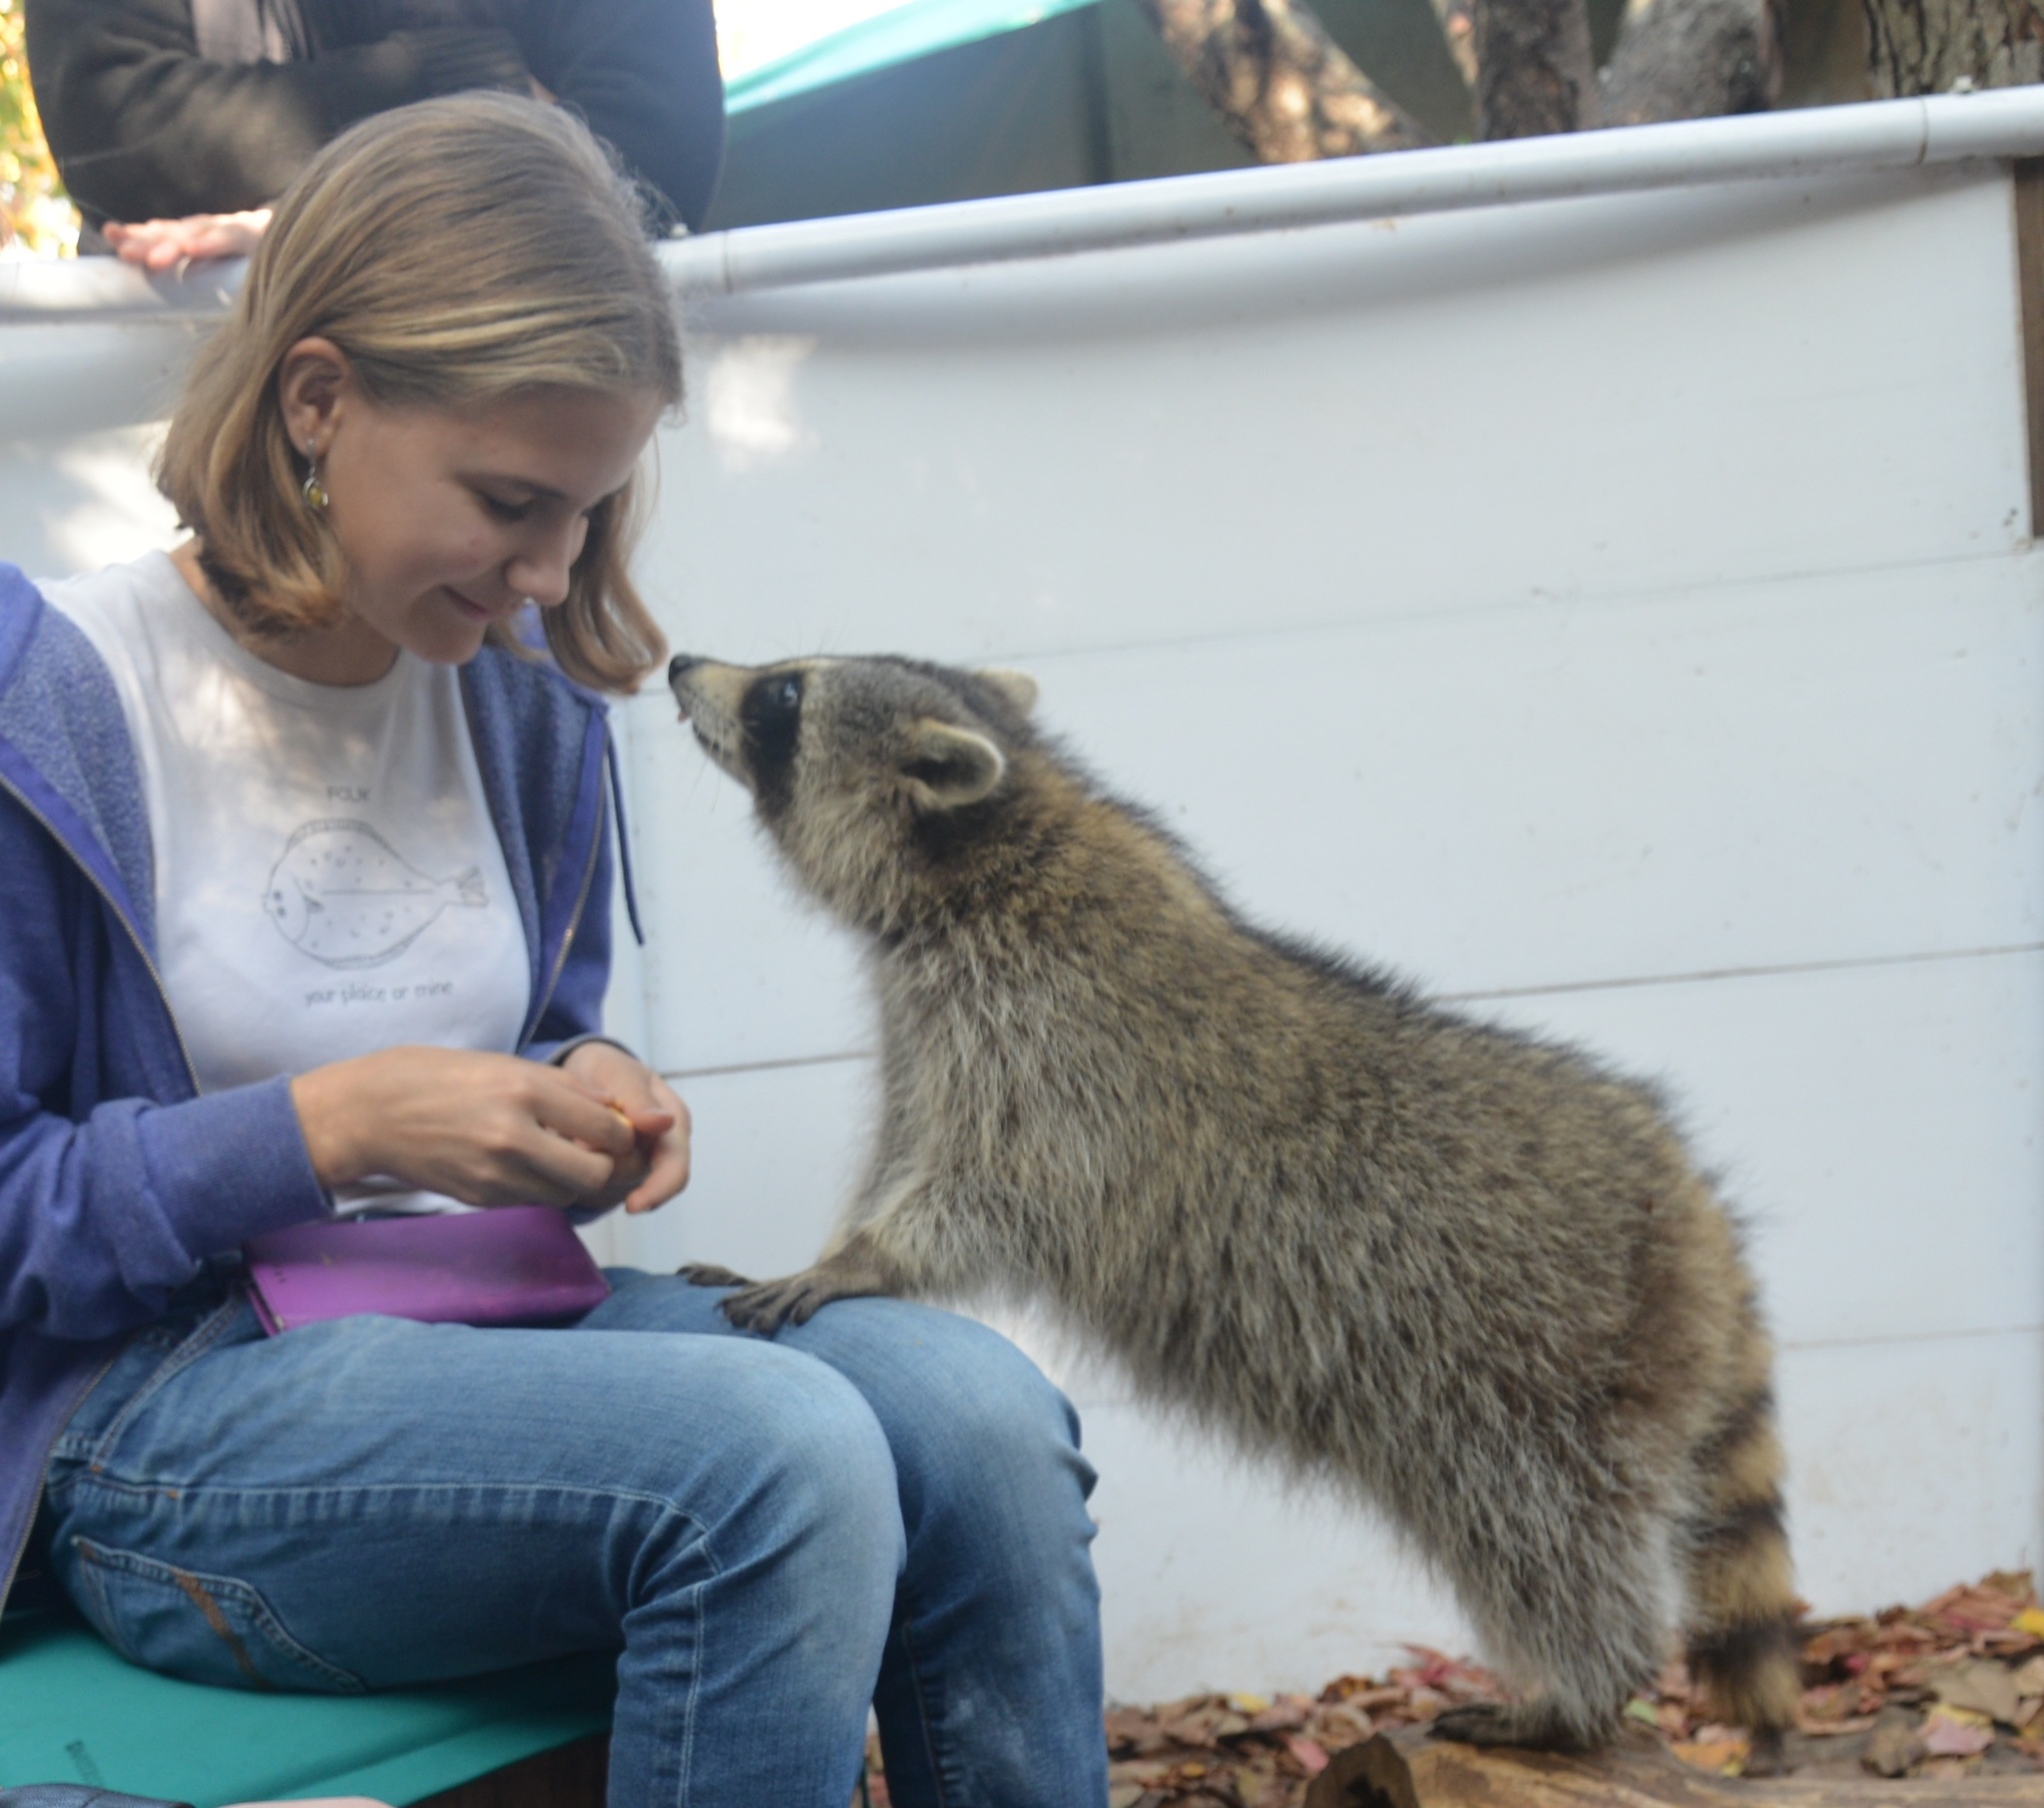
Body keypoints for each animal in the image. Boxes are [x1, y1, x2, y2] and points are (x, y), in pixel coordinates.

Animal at [666, 654, 1790, 1765]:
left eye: (783, 695)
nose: (679, 664)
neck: (996, 846)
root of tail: (1690, 1209)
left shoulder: (1053, 1042)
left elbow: (1002, 1187)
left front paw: (859, 1257)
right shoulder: (929, 1033)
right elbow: (907, 1152)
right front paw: (832, 1243)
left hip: (1537, 1377)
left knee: (1539, 1528)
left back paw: (1583, 1684)